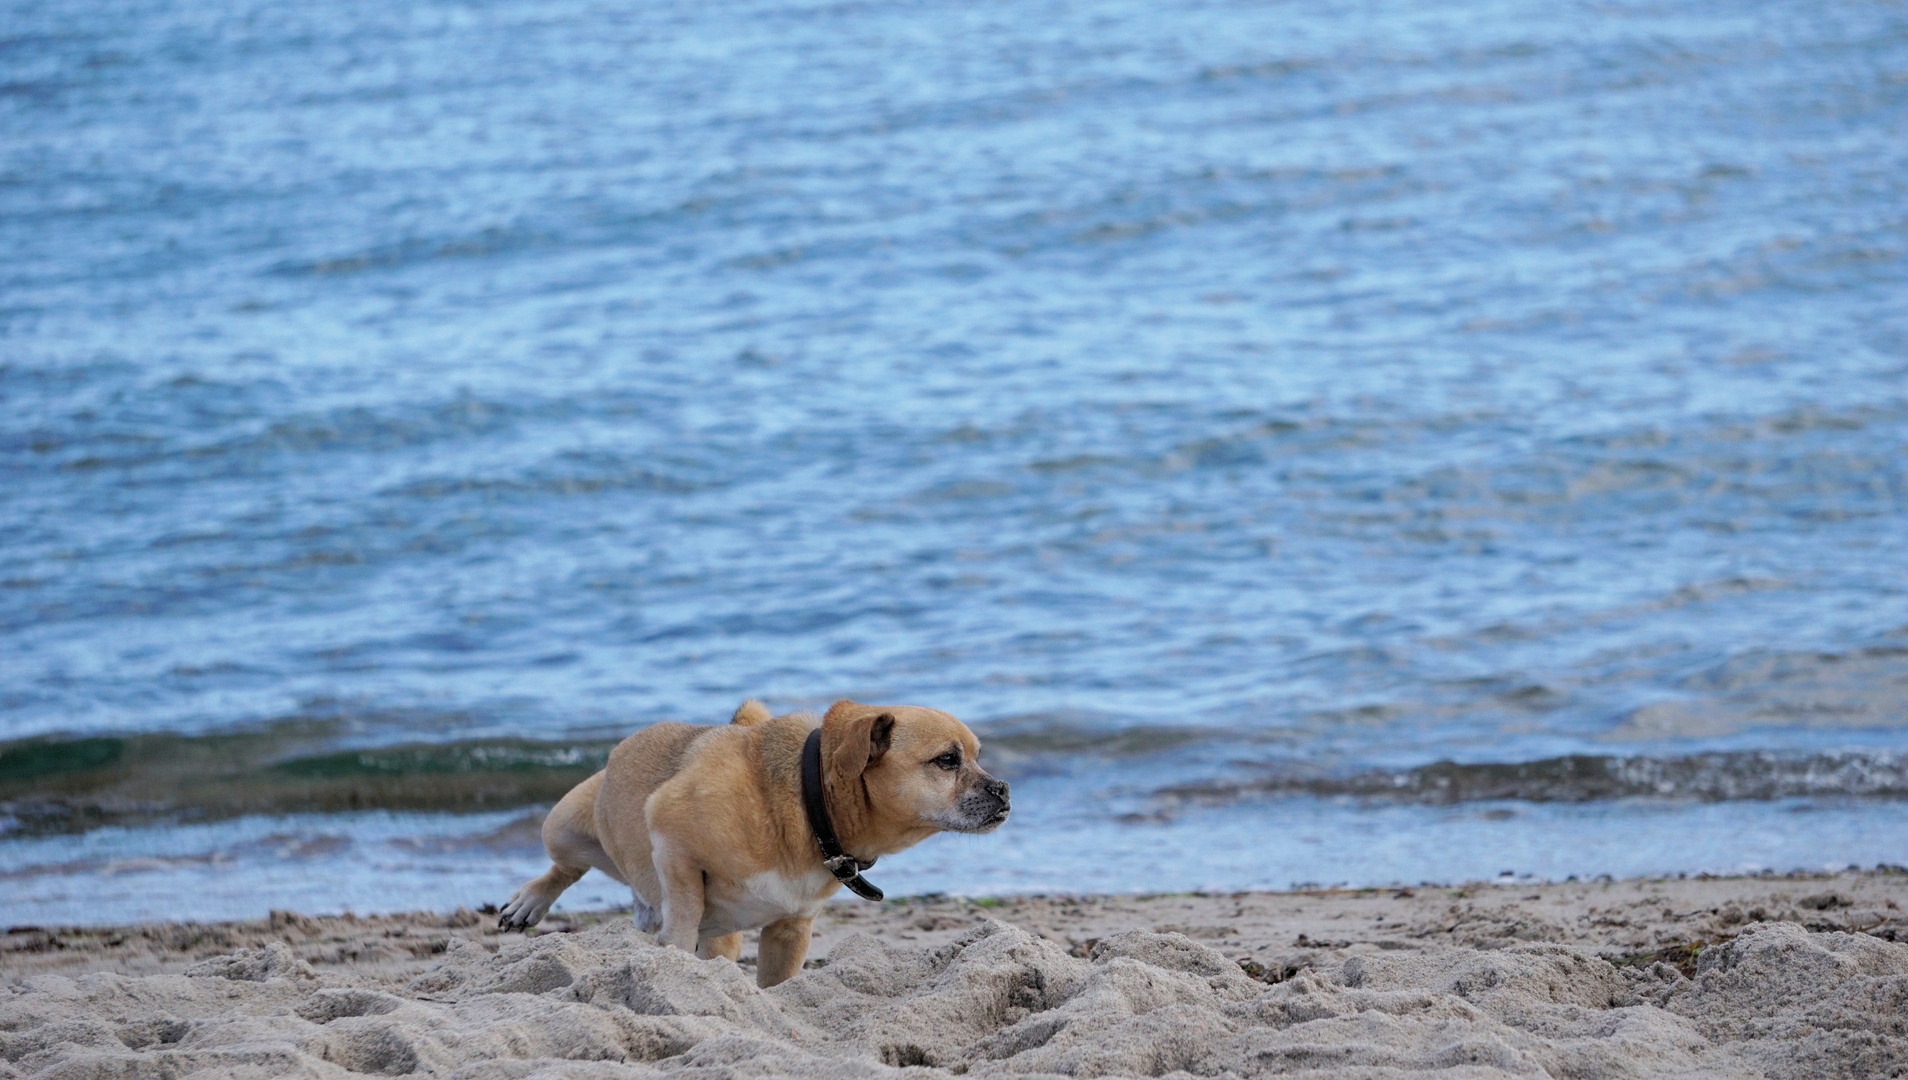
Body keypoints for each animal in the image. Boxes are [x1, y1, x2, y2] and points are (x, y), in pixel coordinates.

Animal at [496, 702, 1015, 992]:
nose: (1005, 789)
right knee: (566, 867)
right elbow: (684, 909)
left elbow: (778, 987)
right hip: (562, 826)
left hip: (724, 940)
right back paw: (528, 902)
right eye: (946, 761)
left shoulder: (791, 929)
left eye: (977, 756)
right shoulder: (671, 837)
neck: (809, 802)